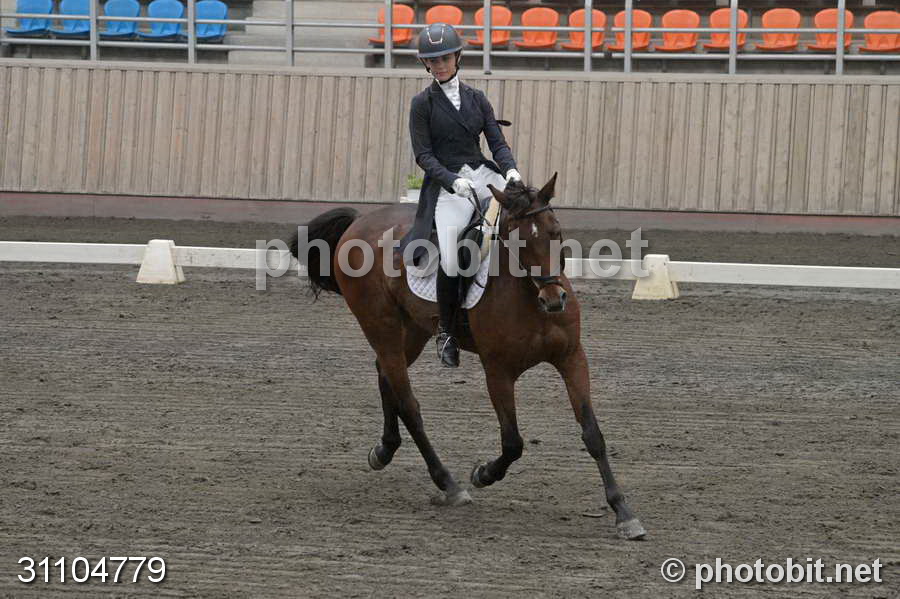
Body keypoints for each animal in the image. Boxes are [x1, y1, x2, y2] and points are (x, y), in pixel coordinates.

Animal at [288, 175, 646, 540]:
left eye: (555, 231)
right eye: (517, 241)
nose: (554, 299)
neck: (529, 296)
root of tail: (359, 223)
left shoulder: (572, 358)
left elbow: (593, 435)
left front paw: (623, 512)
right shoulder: (498, 371)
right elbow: (513, 442)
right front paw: (483, 474)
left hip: (413, 329)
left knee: (385, 375)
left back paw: (384, 450)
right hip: (380, 325)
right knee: (409, 404)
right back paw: (448, 483)